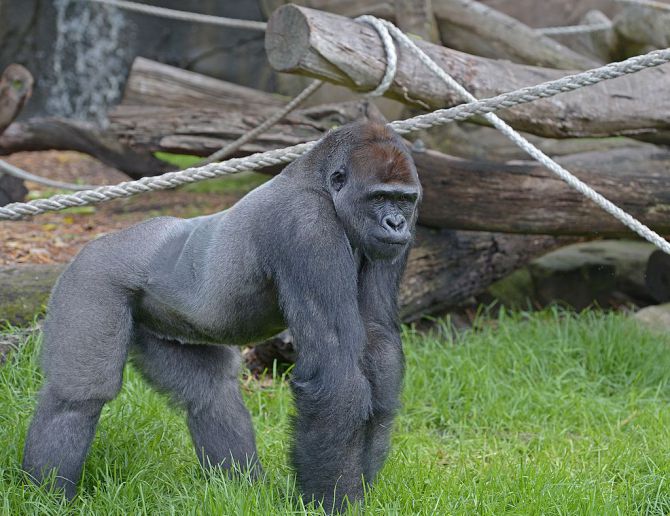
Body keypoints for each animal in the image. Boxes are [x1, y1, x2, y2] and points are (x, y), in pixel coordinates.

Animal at [21, 121, 422, 511]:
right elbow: (337, 371)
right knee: (77, 397)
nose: (395, 224)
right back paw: (46, 495)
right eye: (379, 197)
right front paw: (333, 501)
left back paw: (242, 489)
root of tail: (92, 245)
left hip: (158, 321)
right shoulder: (307, 227)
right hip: (91, 277)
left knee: (209, 391)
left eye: (404, 199)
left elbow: (379, 347)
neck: (320, 181)